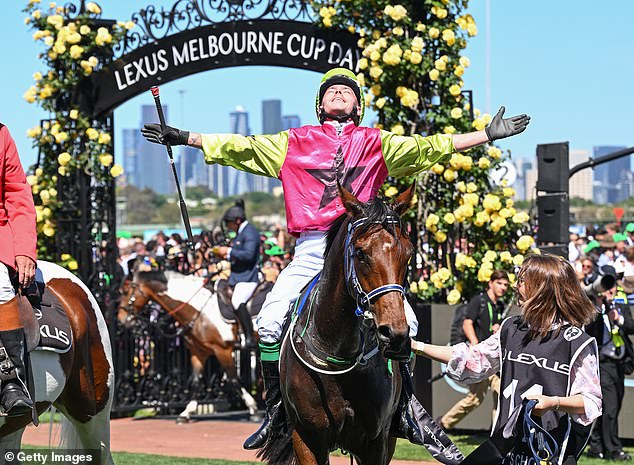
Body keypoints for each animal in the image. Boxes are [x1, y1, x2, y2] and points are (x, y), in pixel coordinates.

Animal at [118, 266, 256, 418]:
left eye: (125, 292)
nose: (120, 319)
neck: (201, 310)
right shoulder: (198, 351)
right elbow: (195, 381)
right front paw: (186, 412)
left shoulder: (222, 350)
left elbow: (234, 379)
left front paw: (252, 406)